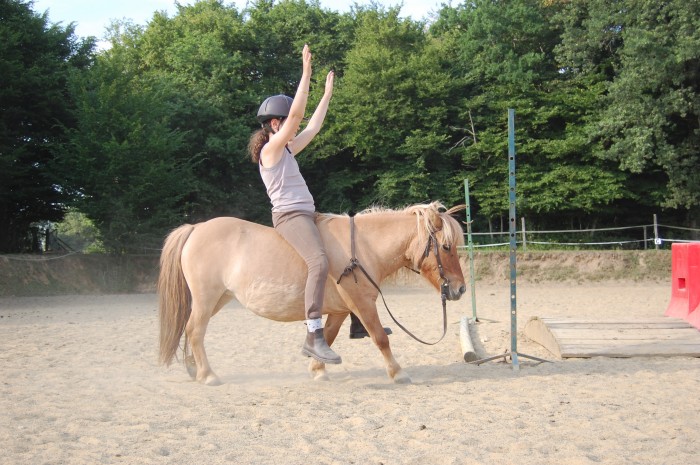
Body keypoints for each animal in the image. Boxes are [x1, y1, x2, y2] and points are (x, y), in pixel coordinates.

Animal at [158, 200, 464, 384]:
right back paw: (208, 375)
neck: (361, 249)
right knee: (195, 330)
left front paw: (318, 369)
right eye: (446, 246)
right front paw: (398, 372)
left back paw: (193, 368)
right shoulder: (362, 303)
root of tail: (196, 228)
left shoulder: (340, 310)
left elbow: (326, 336)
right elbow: (380, 338)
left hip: (218, 299)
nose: (460, 288)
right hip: (206, 298)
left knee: (189, 329)